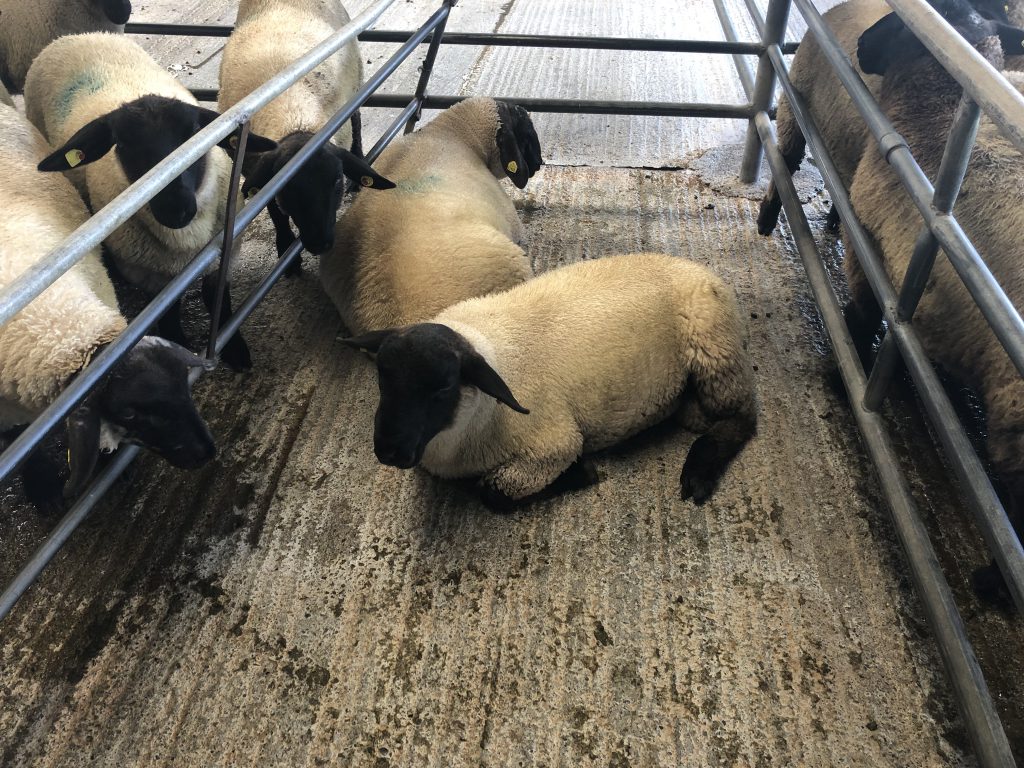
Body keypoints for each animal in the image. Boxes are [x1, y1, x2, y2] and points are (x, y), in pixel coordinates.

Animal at [0, 94, 217, 512]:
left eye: (184, 383)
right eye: (129, 413)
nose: (207, 453)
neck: (53, 320)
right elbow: (21, 447)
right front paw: (43, 488)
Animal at [23, 32, 277, 371]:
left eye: (195, 133)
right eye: (122, 144)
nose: (175, 208)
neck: (185, 246)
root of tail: (73, 37)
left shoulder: (223, 251)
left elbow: (218, 300)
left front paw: (235, 349)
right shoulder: (149, 276)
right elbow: (167, 316)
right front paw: (179, 351)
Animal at [218, 0, 394, 276]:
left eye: (336, 180)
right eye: (288, 189)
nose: (320, 244)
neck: (295, 117)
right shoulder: (261, 174)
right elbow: (277, 213)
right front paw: (287, 252)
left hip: (356, 80)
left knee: (356, 120)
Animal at [343, 253, 758, 509]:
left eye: (444, 386)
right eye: (382, 375)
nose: (390, 451)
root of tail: (703, 271)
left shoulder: (553, 443)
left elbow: (493, 492)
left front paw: (580, 473)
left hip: (714, 350)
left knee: (742, 417)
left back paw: (698, 475)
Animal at [846, 1, 1024, 599]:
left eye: (900, 22)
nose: (862, 47)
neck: (939, 115)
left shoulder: (866, 238)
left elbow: (861, 316)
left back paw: (993, 581)